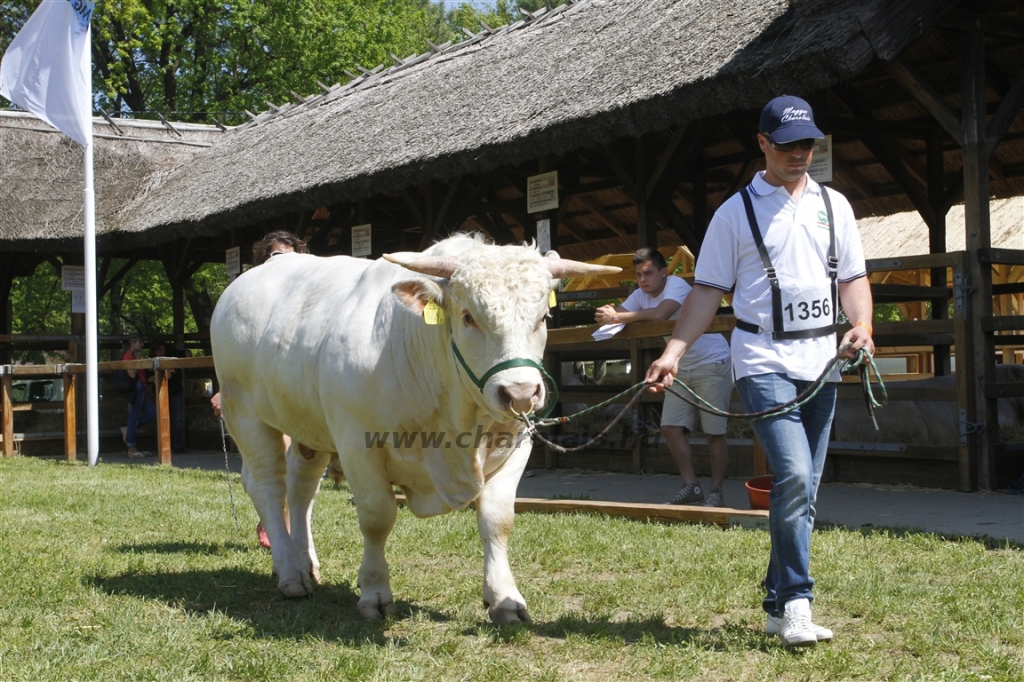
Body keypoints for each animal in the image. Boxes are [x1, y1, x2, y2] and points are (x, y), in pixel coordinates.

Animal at [209, 235, 614, 622]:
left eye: (543, 317)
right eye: (468, 317)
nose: (520, 393)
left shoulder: (517, 444)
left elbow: (497, 520)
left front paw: (504, 598)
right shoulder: (357, 444)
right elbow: (377, 517)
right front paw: (374, 593)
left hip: (309, 426)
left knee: (301, 487)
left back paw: (306, 562)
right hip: (245, 413)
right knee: (268, 486)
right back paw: (291, 572)